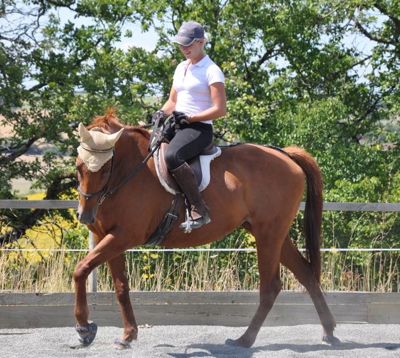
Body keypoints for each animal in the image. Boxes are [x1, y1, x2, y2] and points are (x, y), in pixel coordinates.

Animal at [74, 110, 338, 350]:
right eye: (78, 167)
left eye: (105, 169)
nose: (86, 216)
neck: (128, 172)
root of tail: (286, 155)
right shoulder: (107, 236)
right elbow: (121, 287)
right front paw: (127, 335)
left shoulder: (124, 236)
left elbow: (80, 270)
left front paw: (84, 329)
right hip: (271, 233)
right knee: (306, 274)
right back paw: (329, 332)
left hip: (268, 234)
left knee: (271, 286)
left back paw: (245, 340)